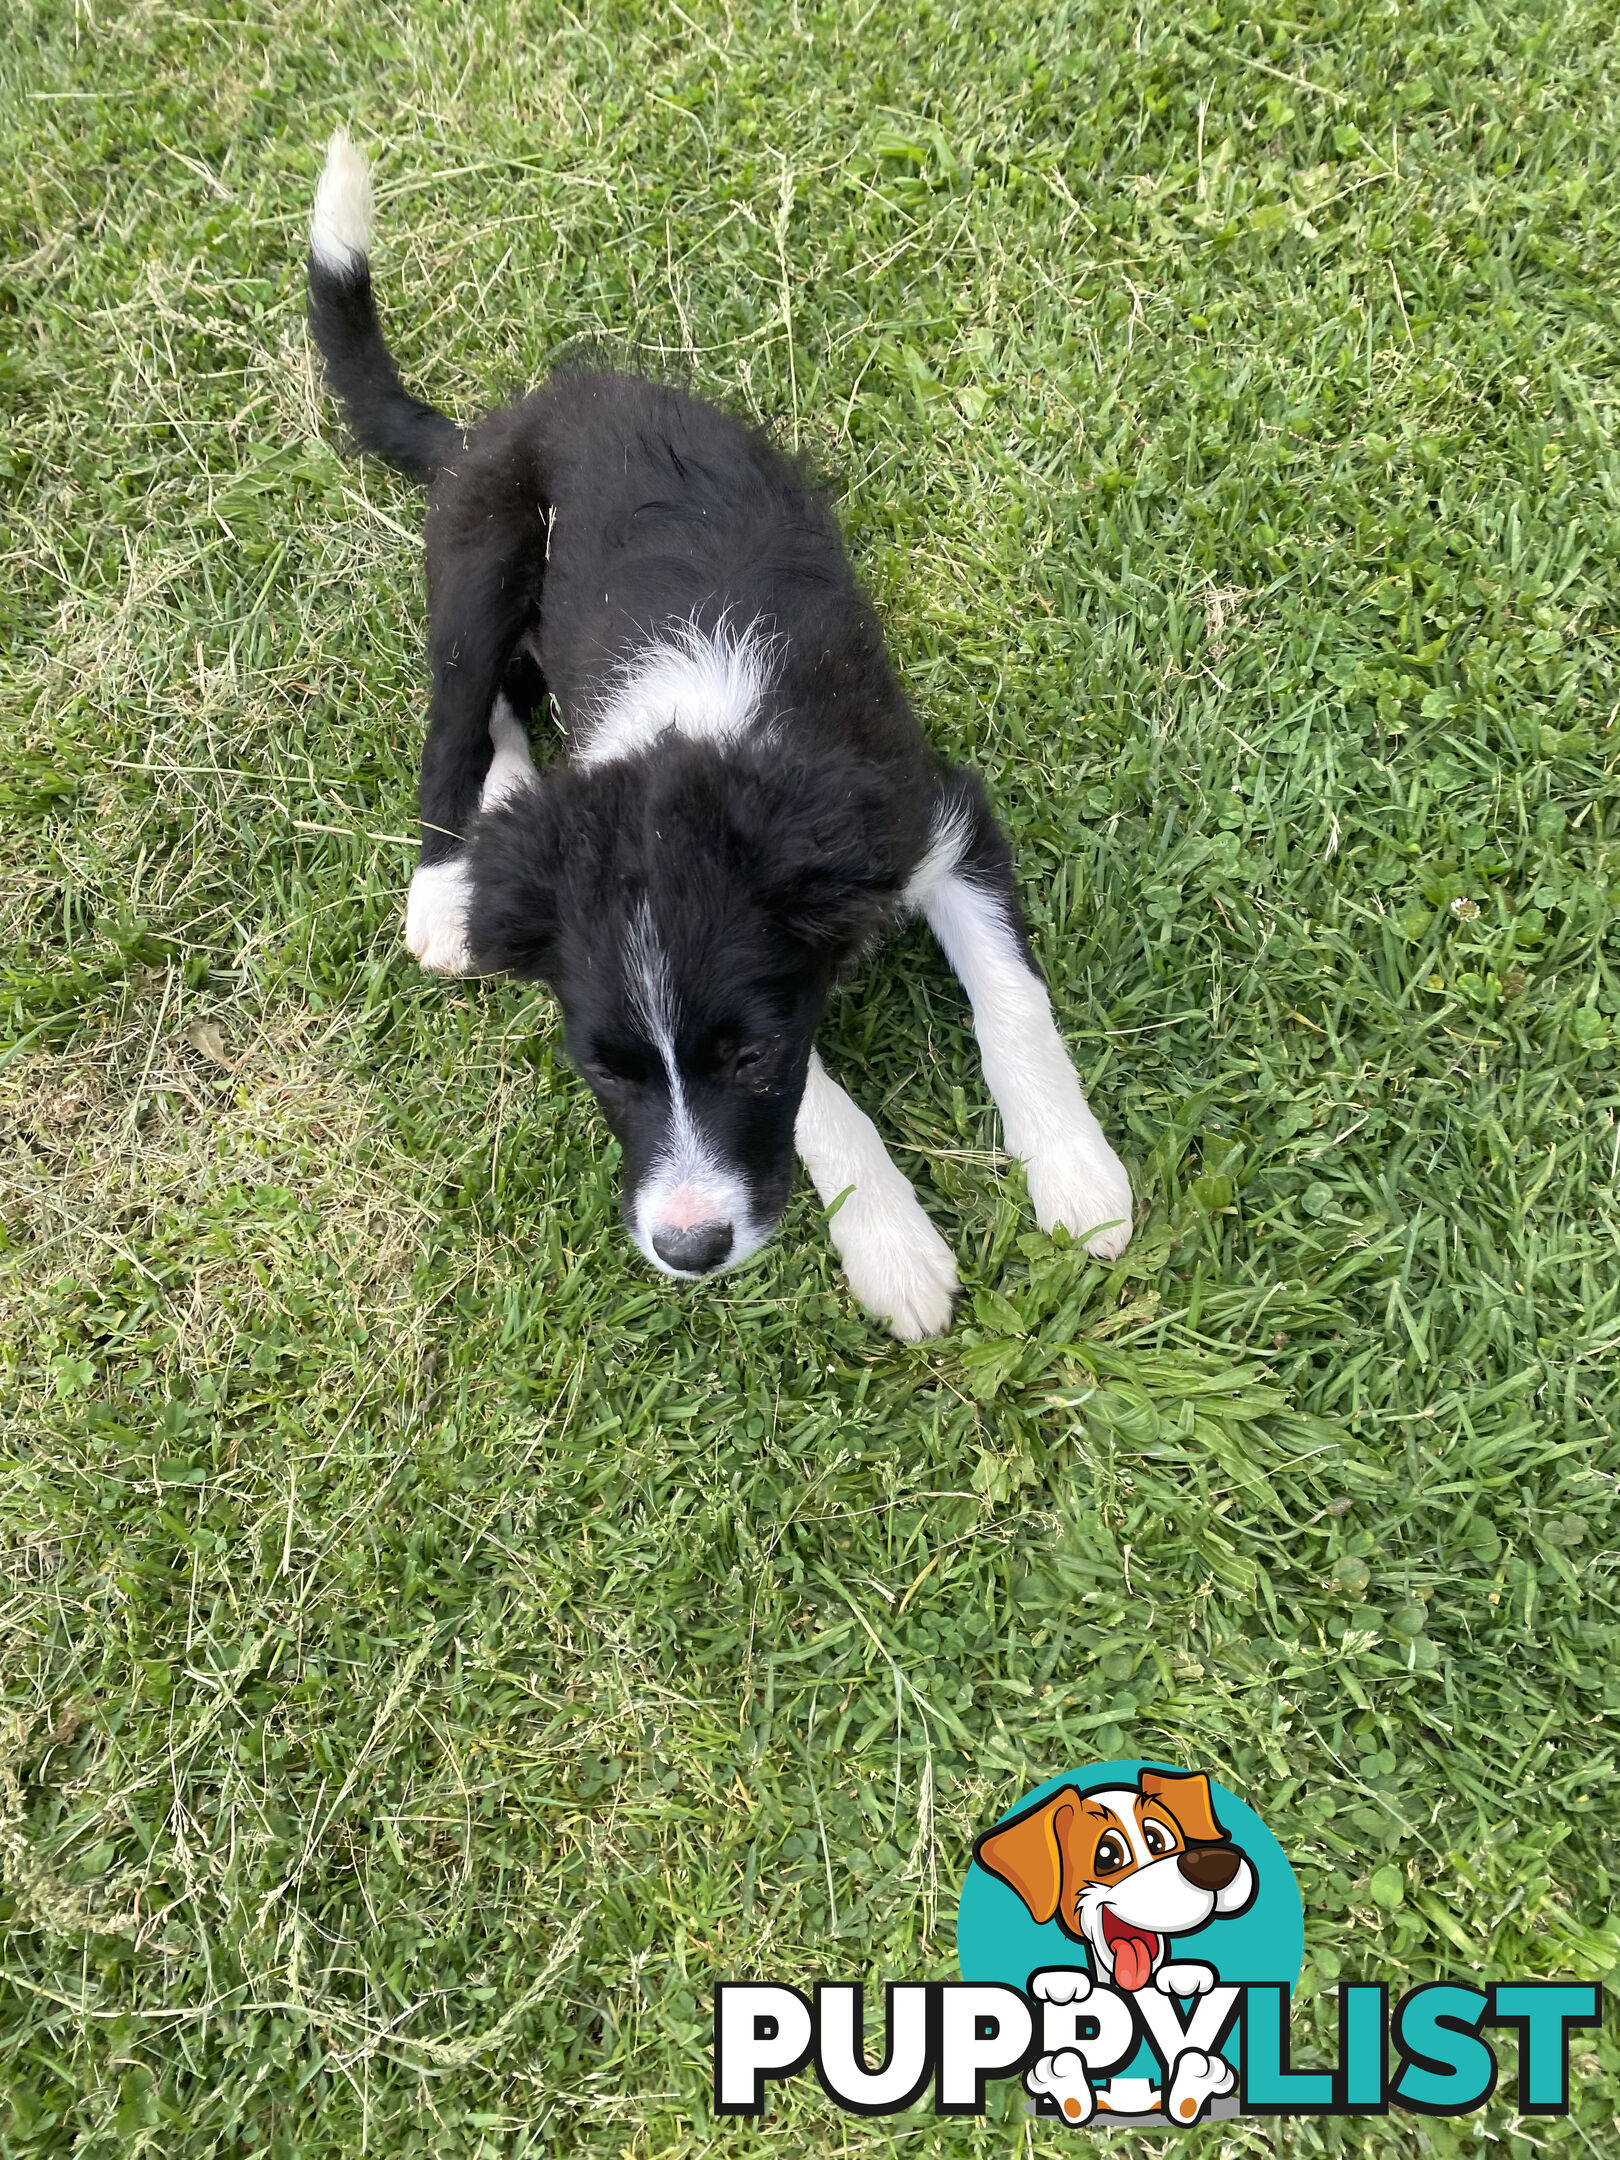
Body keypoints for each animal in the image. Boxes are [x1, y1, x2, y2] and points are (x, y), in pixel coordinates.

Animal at [311, 130, 1131, 1330]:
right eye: (605, 1072)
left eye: (750, 1057)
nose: (688, 1249)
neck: (706, 741)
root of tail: (500, 423)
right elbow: (827, 1108)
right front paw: (894, 1249)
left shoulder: (935, 813)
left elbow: (1012, 1002)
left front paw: (1075, 1174)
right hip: (481, 552)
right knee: (453, 721)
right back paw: (448, 889)